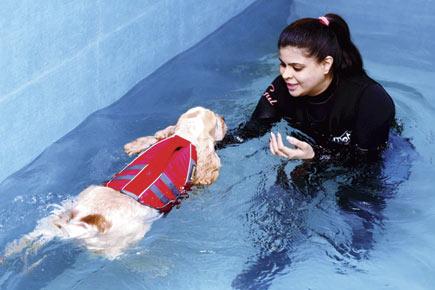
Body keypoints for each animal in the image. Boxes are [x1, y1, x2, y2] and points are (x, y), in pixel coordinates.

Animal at [4, 107, 228, 260]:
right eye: (217, 122)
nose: (224, 118)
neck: (183, 138)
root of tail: (88, 222)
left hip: (61, 211)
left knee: (38, 233)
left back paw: (10, 252)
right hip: (127, 238)